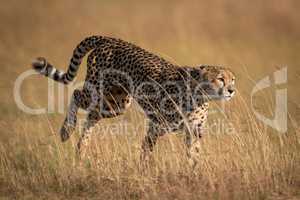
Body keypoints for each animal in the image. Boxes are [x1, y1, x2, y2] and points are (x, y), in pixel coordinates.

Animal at [32, 36, 234, 160]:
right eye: (220, 79)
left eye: (232, 79)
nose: (231, 90)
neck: (200, 98)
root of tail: (110, 39)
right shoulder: (156, 126)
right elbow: (146, 151)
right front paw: (145, 171)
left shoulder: (193, 133)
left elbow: (193, 157)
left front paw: (192, 175)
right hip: (98, 91)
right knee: (76, 94)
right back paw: (66, 130)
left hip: (116, 104)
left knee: (92, 116)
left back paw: (82, 146)